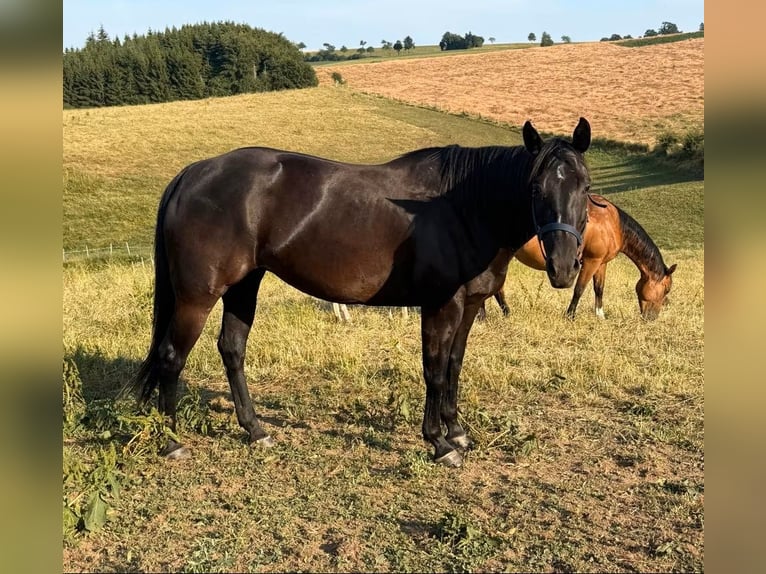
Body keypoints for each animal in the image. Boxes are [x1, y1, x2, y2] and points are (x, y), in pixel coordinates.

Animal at [128, 118, 593, 467]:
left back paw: (256, 430)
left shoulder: (469, 306)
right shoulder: (440, 305)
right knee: (171, 357)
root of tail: (194, 173)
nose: (563, 266)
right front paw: (439, 443)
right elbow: (434, 369)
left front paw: (457, 431)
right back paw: (172, 442)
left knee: (232, 349)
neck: (462, 206)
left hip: (245, 285)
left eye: (585, 187)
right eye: (535, 188)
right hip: (197, 296)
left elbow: (455, 367)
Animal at [483, 195, 676, 321]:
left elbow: (599, 288)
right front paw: (570, 315)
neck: (611, 223)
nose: (652, 318)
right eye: (666, 289)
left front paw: (600, 315)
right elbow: (579, 289)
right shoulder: (591, 261)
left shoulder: (601, 263)